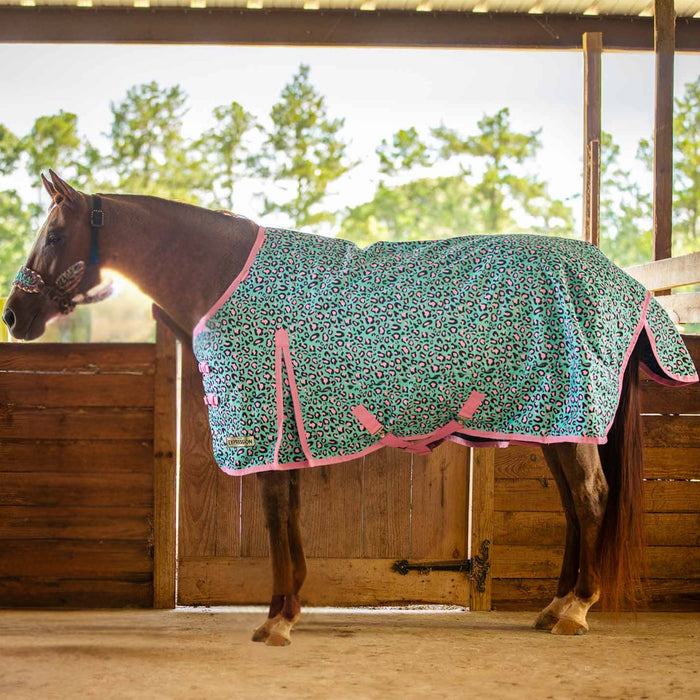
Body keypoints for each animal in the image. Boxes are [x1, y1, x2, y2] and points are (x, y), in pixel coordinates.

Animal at [4, 171, 697, 645]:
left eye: (55, 234)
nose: (15, 316)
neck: (224, 274)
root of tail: (624, 282)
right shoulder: (285, 433)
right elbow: (287, 517)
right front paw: (286, 610)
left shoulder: (265, 429)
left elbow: (274, 517)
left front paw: (276, 621)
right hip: (554, 425)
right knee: (577, 508)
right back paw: (553, 609)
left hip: (567, 424)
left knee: (592, 500)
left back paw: (576, 609)